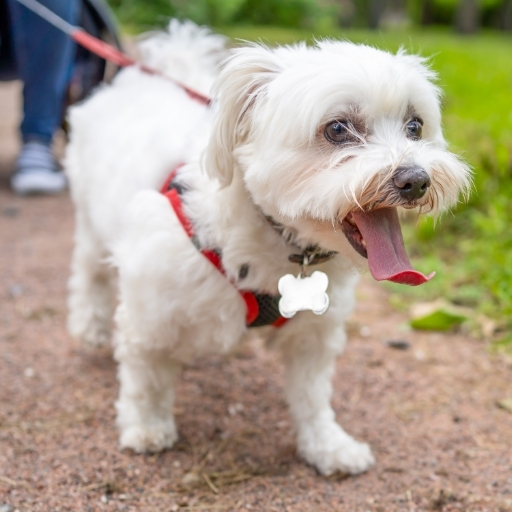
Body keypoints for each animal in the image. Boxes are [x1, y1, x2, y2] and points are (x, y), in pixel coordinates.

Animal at [66, 21, 470, 476]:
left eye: (414, 126)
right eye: (337, 129)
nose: (416, 180)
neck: (275, 241)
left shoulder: (313, 335)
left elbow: (312, 398)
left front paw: (328, 446)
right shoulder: (149, 315)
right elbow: (146, 379)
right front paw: (147, 428)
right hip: (89, 220)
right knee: (88, 271)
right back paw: (91, 325)